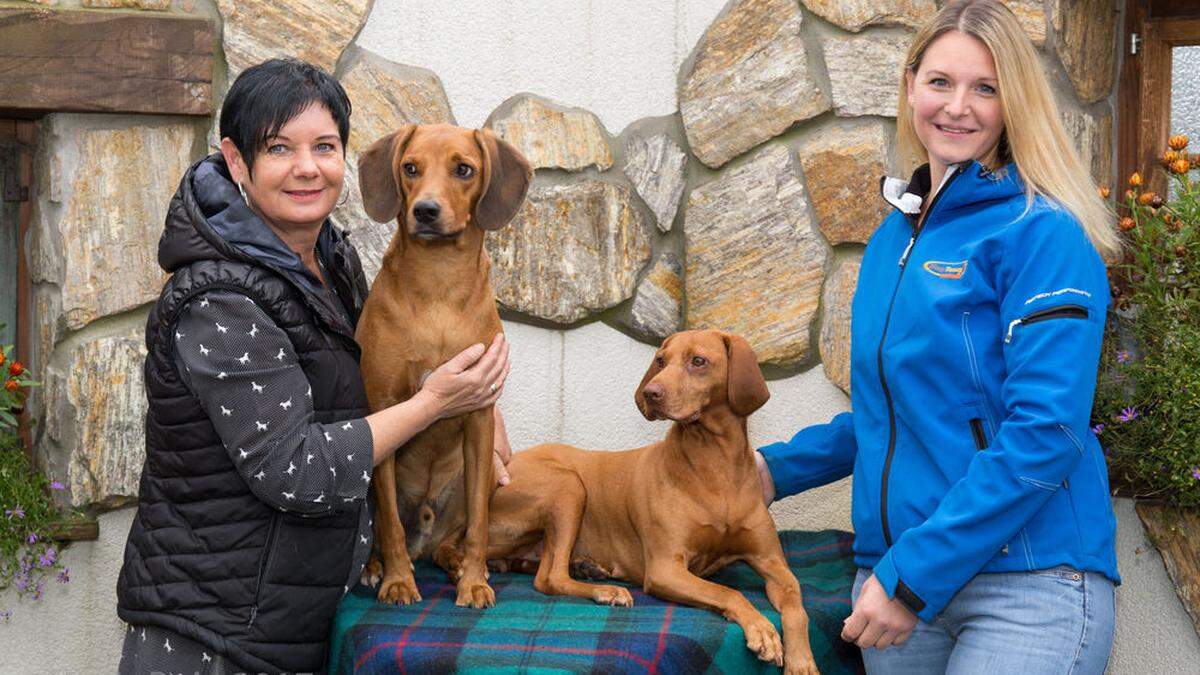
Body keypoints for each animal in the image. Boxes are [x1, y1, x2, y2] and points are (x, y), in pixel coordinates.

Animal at [350, 123, 530, 607]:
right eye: (410, 168)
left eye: (463, 169)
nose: (426, 210)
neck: (439, 285)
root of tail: (426, 536)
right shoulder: (384, 406)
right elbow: (390, 524)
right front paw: (397, 580)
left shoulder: (481, 417)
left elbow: (480, 527)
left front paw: (474, 582)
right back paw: (378, 566)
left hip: (476, 475)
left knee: (455, 538)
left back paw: (458, 562)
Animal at [482, 329, 820, 667]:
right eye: (660, 360)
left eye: (698, 361)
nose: (650, 392)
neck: (716, 466)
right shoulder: (664, 570)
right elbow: (726, 592)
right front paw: (761, 628)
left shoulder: (772, 563)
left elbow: (798, 609)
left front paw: (802, 662)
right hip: (568, 485)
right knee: (549, 578)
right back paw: (606, 590)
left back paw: (585, 568)